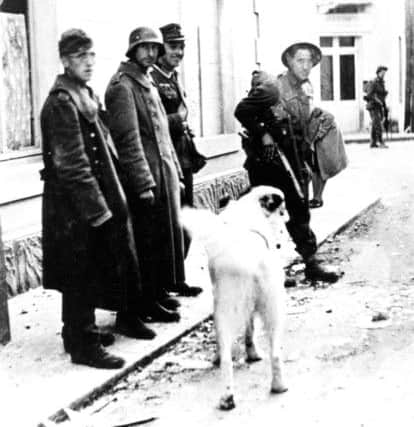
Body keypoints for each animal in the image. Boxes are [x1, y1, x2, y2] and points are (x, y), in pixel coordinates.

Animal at [181, 186, 288, 412]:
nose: (287, 216)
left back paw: (227, 396)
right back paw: (277, 386)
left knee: (227, 360)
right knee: (274, 353)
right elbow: (250, 331)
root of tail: (250, 259)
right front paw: (253, 353)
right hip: (273, 308)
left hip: (224, 310)